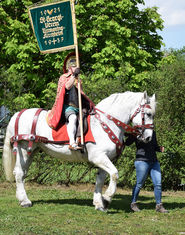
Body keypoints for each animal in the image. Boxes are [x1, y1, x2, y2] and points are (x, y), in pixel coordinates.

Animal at [2, 91, 156, 211]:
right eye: (148, 114)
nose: (148, 137)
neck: (105, 123)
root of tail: (18, 114)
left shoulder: (105, 159)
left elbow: (100, 180)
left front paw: (99, 203)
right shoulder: (99, 157)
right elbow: (114, 174)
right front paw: (106, 198)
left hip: (31, 151)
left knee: (22, 174)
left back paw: (22, 198)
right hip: (23, 149)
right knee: (19, 173)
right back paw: (25, 201)